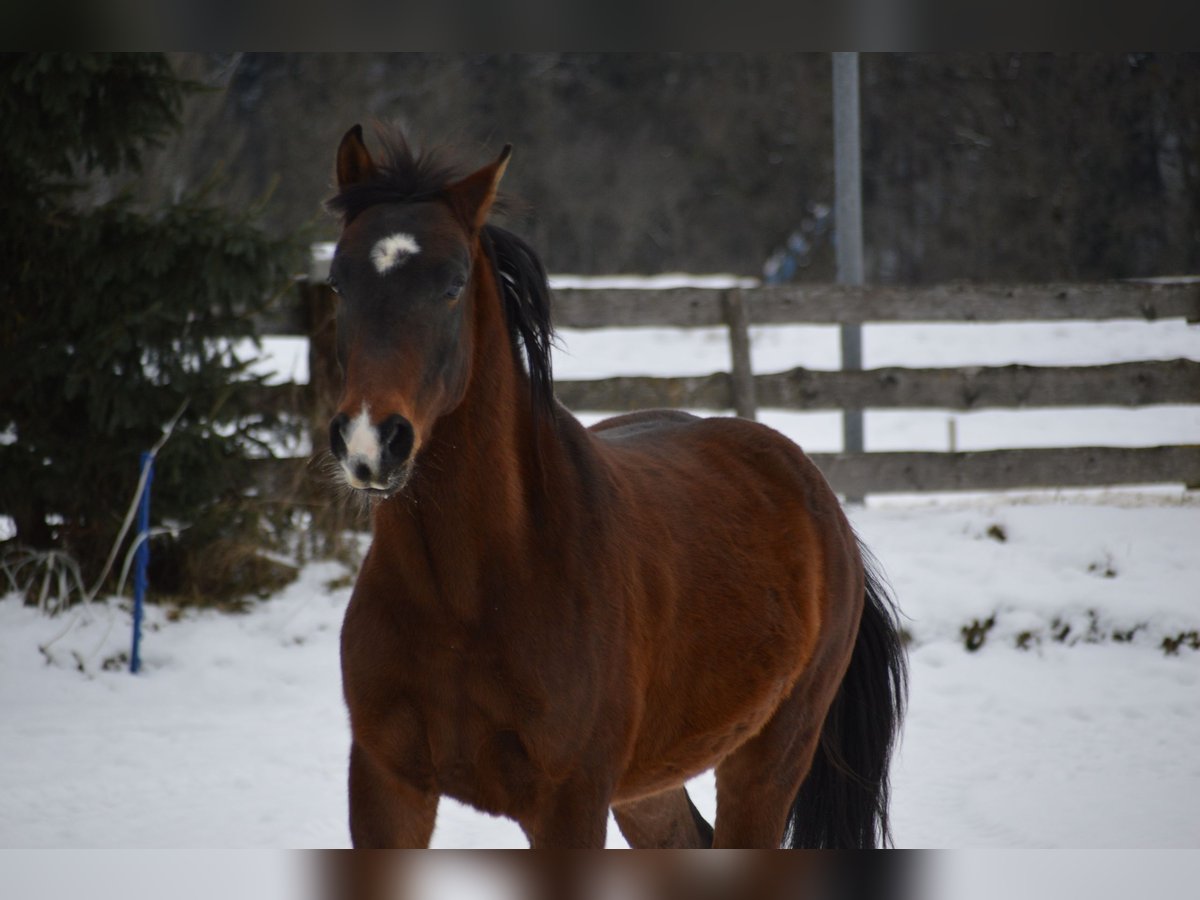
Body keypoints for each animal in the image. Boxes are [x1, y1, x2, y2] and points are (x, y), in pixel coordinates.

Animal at [323, 124, 907, 849]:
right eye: (337, 281)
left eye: (453, 283)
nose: (369, 442)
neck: (466, 593)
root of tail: (819, 498)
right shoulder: (385, 785)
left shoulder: (569, 801)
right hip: (648, 787)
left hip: (769, 760)